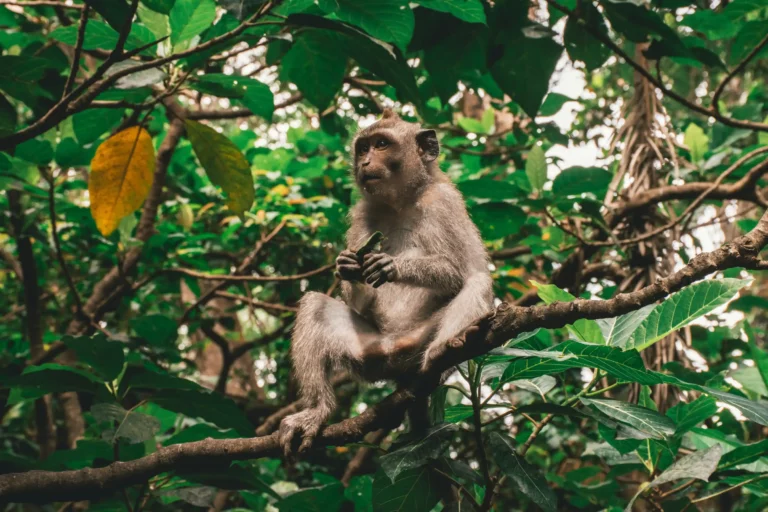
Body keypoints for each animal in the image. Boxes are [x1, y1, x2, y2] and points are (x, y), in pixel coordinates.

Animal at [278, 109, 494, 456]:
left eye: (381, 144)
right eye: (363, 148)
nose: (365, 162)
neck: (402, 201)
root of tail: (398, 354)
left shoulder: (443, 202)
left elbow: (461, 272)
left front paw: (393, 266)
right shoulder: (362, 213)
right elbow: (359, 300)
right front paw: (348, 266)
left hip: (420, 341)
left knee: (478, 283)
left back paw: (444, 350)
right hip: (371, 354)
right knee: (314, 305)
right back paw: (317, 410)